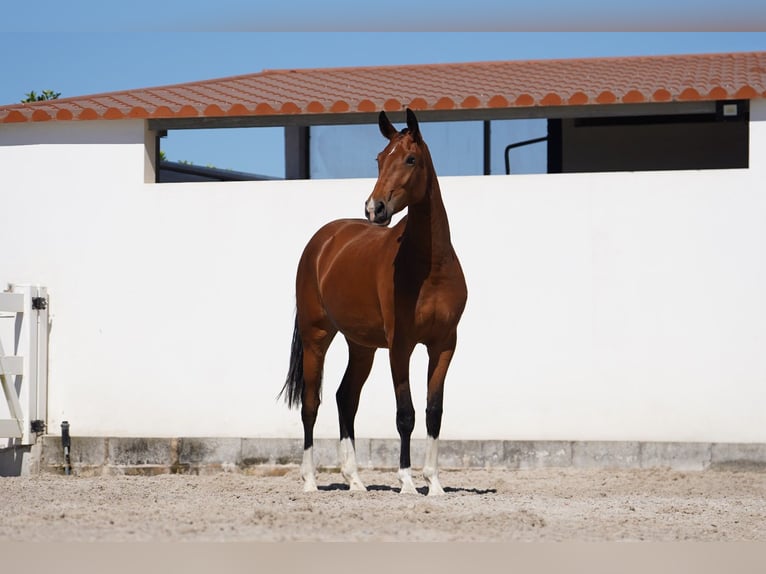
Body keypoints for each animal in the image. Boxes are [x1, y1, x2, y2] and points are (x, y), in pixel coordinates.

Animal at [280, 110, 464, 498]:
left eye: (410, 159)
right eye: (379, 159)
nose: (374, 208)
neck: (431, 268)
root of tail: (323, 241)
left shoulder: (444, 345)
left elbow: (434, 411)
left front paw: (434, 483)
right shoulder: (401, 346)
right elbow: (405, 414)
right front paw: (407, 482)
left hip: (361, 346)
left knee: (345, 398)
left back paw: (355, 480)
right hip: (316, 337)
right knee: (311, 404)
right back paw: (310, 481)